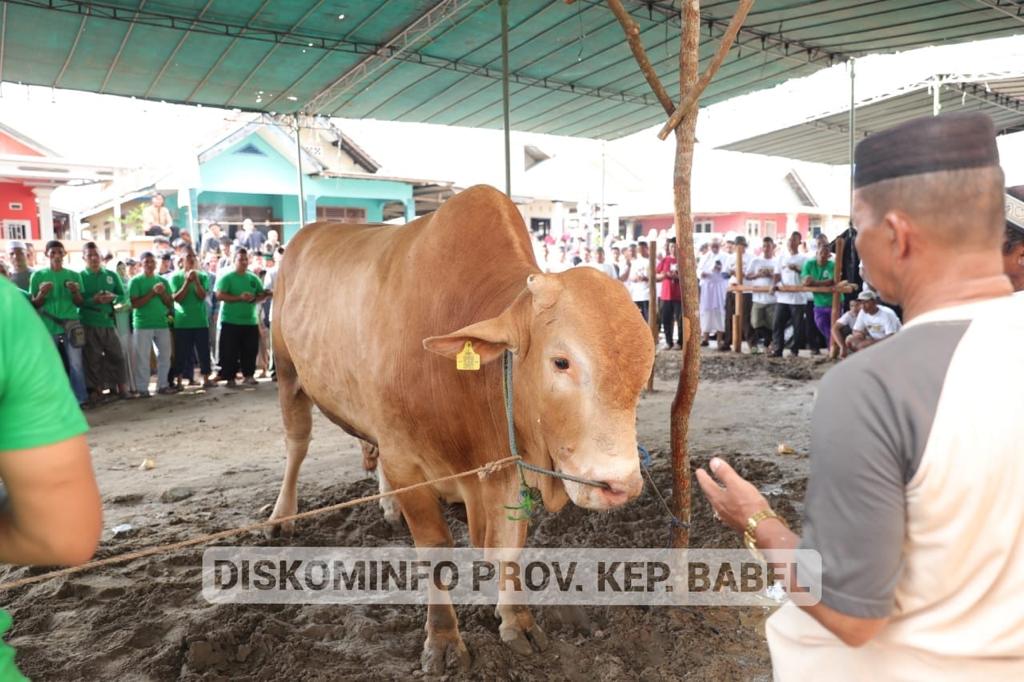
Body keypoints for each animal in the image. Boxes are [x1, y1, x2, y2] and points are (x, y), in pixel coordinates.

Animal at [270, 183, 655, 671]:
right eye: (561, 362)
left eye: (645, 369)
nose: (620, 485)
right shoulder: (406, 462)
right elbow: (435, 548)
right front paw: (443, 639)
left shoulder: (508, 467)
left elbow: (509, 546)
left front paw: (517, 621)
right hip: (287, 372)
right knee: (296, 443)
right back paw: (283, 515)